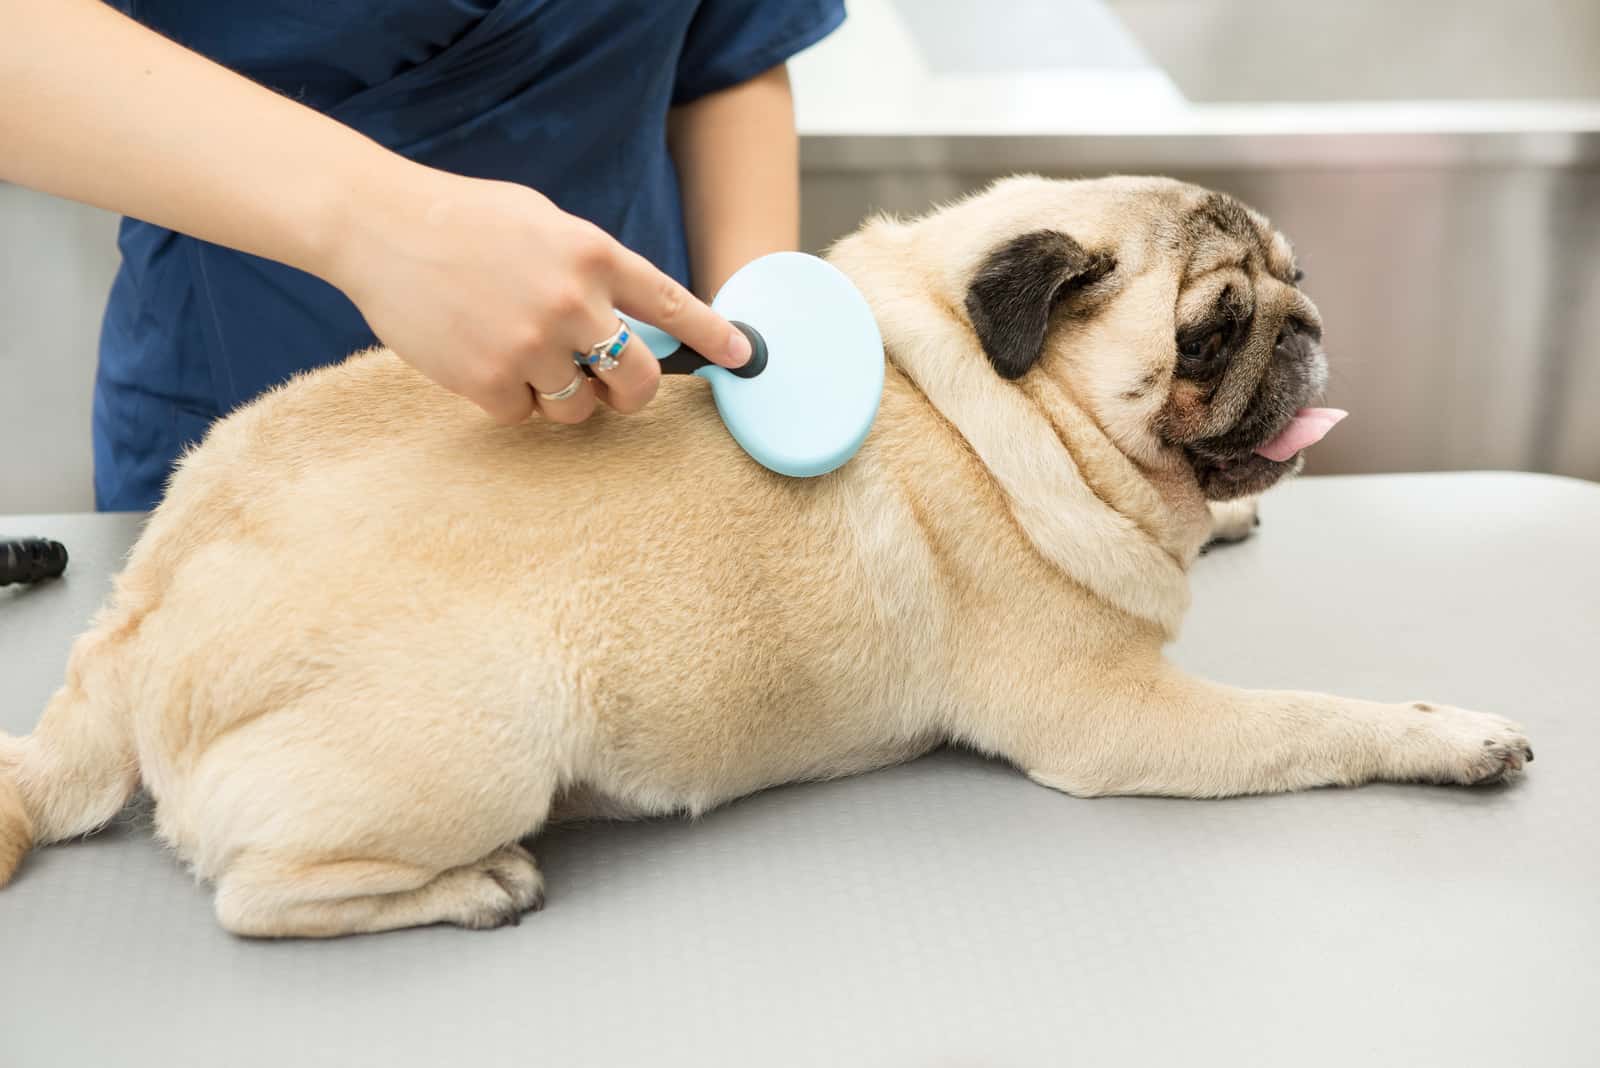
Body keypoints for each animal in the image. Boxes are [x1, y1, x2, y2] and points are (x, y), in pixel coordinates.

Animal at [0, 175, 1523, 933]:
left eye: (1296, 279)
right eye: (1210, 335)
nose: (1307, 326)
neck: (982, 394)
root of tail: (135, 625)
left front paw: (1241, 517)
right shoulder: (1119, 720)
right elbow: (1312, 722)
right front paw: (1447, 734)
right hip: (487, 740)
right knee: (253, 900)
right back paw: (475, 889)